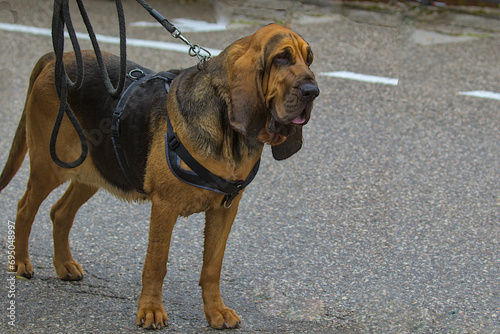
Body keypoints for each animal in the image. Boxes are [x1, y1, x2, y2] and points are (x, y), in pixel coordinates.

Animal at [0, 23, 318, 328]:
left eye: (309, 58)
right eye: (281, 57)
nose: (313, 91)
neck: (227, 133)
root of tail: (57, 58)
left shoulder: (226, 209)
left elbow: (212, 267)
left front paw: (216, 311)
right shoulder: (165, 207)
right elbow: (157, 263)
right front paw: (151, 311)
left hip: (98, 169)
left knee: (60, 213)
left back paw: (64, 264)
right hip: (51, 165)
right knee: (25, 208)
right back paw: (21, 264)